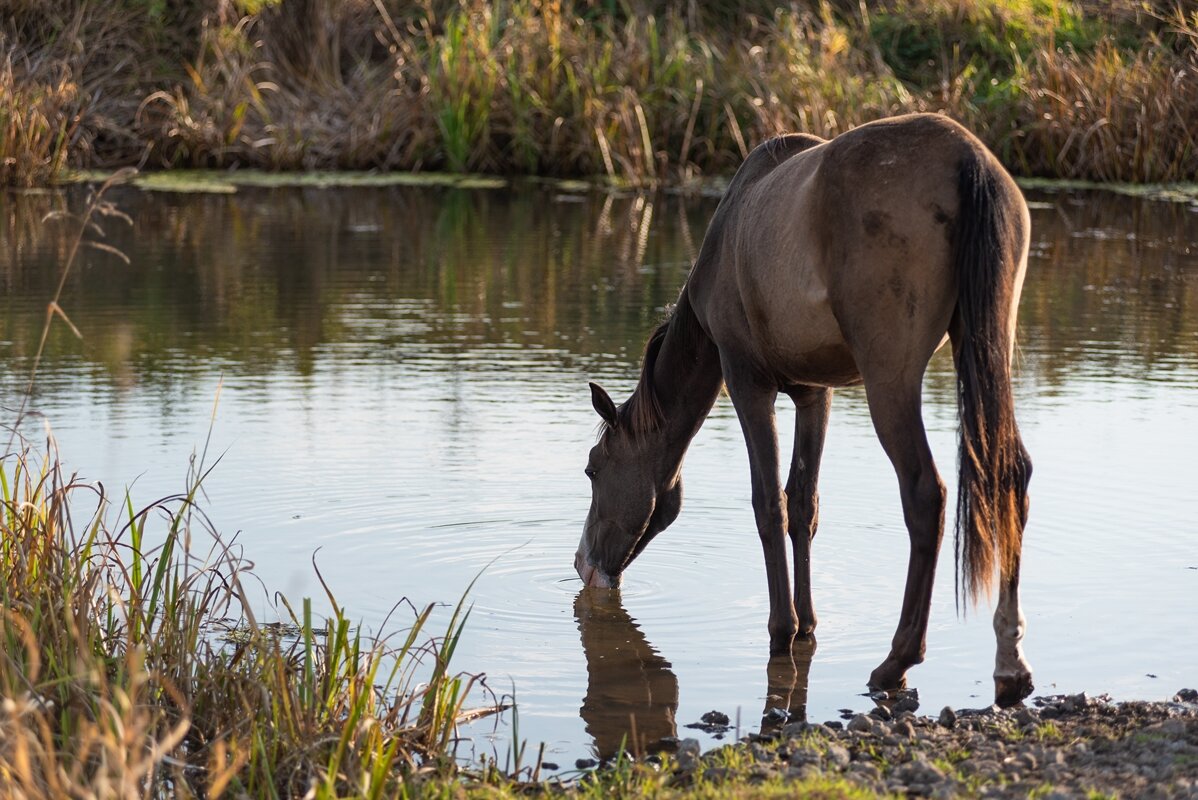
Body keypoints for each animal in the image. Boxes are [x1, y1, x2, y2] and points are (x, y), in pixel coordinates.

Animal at [575, 113, 1035, 704]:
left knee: (924, 493)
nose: (583, 564)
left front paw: (781, 629)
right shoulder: (815, 392)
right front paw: (808, 625)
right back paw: (1010, 663)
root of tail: (967, 159)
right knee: (1010, 475)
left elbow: (768, 504)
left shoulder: (747, 381)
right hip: (987, 345)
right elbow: (803, 505)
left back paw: (897, 660)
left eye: (593, 469)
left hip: (891, 378)